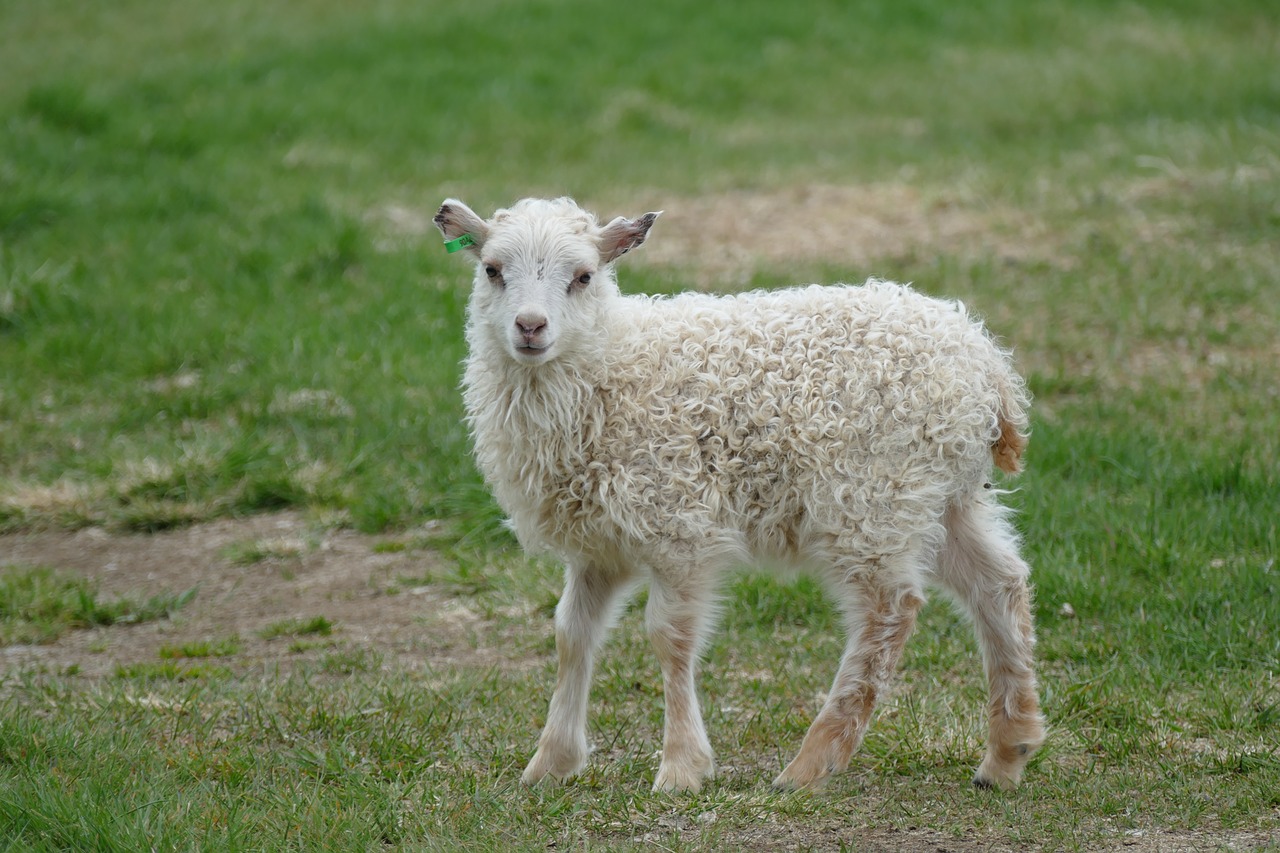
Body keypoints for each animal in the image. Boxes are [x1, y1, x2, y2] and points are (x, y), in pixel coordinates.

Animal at [435, 192, 1044, 788]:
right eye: (491, 270)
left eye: (584, 276)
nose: (530, 327)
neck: (612, 367)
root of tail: (989, 367)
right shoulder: (598, 545)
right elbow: (571, 634)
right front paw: (550, 763)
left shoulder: (678, 523)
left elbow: (670, 636)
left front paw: (681, 767)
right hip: (941, 495)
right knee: (999, 583)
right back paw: (1005, 753)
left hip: (872, 494)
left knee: (889, 610)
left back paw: (812, 762)